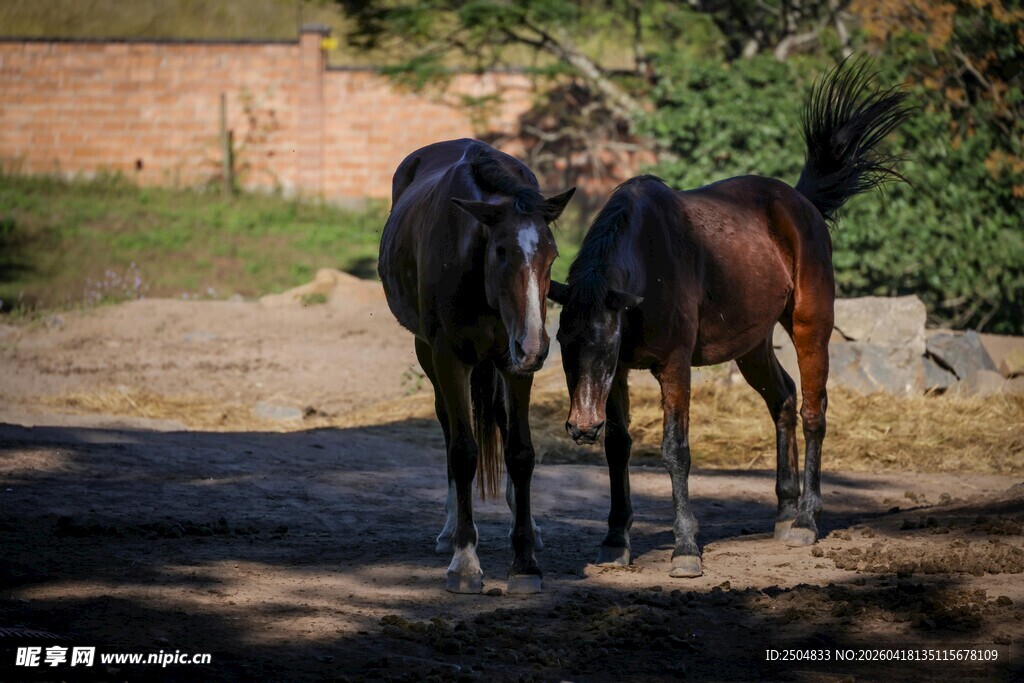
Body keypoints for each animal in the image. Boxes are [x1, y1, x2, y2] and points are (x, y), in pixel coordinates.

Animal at [378, 139, 575, 593]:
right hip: (427, 352)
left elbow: (520, 452)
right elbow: (463, 451)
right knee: (449, 428)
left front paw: (525, 562)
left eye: (552, 255)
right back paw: (451, 530)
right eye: (500, 251)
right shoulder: (448, 358)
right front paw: (465, 562)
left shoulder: (514, 364)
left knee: (500, 422)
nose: (535, 346)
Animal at [547, 60, 910, 578]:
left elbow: (675, 450)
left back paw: (806, 519)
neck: (649, 266)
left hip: (811, 328)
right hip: (752, 347)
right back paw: (784, 511)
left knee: (812, 411)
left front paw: (685, 549)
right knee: (783, 399)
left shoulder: (672, 367)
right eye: (563, 341)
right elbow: (618, 446)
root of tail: (801, 202)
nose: (580, 426)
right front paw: (615, 541)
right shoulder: (618, 377)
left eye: (604, 342)